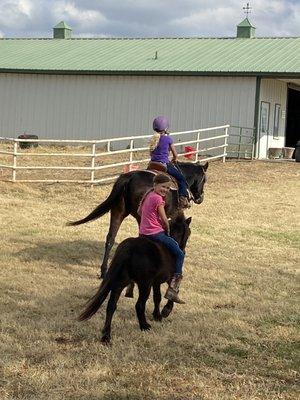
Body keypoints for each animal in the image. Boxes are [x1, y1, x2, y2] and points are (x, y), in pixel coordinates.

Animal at [69, 160, 207, 278]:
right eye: (204, 180)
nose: (200, 198)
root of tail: (129, 178)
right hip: (140, 217)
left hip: (118, 212)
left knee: (110, 238)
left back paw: (104, 271)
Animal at [77, 212, 190, 344]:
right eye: (188, 232)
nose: (183, 251)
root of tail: (128, 249)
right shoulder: (167, 278)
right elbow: (173, 292)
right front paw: (165, 311)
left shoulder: (156, 282)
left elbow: (157, 297)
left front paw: (157, 315)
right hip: (144, 285)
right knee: (139, 305)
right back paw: (144, 326)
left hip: (120, 283)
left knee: (111, 306)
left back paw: (106, 336)